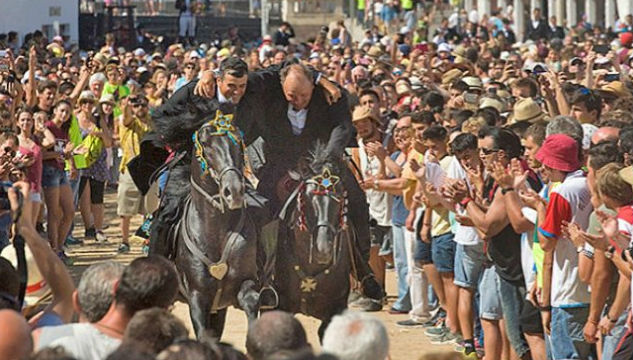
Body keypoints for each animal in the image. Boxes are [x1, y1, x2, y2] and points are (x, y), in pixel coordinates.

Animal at [168, 111, 260, 338]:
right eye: (205, 144)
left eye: (238, 143)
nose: (233, 191)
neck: (215, 231)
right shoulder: (198, 297)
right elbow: (203, 334)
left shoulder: (245, 283)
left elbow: (251, 301)